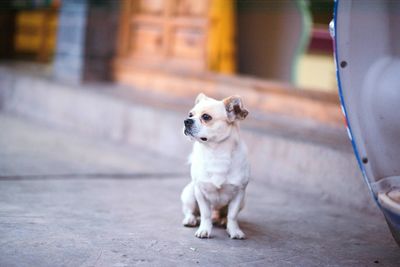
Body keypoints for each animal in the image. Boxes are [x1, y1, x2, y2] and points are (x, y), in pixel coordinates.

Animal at [181, 93, 250, 240]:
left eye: (206, 117)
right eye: (190, 114)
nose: (186, 121)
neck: (215, 152)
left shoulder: (239, 194)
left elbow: (232, 215)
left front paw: (234, 230)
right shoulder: (200, 192)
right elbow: (205, 214)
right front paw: (204, 230)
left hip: (242, 202)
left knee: (225, 215)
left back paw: (223, 221)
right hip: (189, 193)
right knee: (190, 211)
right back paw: (190, 219)